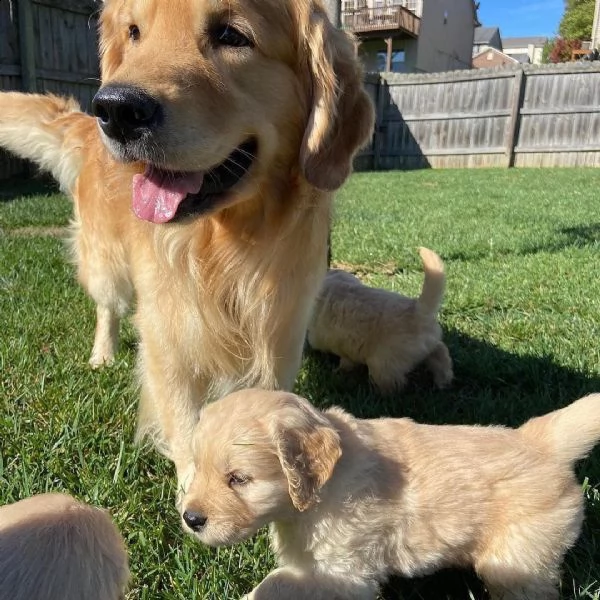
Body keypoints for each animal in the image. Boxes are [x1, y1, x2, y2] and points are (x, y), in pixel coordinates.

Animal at [0, 0, 376, 490]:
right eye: (135, 32)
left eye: (232, 36)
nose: (116, 110)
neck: (223, 241)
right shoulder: (168, 330)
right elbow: (183, 421)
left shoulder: (282, 324)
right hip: (107, 261)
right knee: (106, 306)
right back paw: (103, 354)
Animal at [180, 390, 600, 600]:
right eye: (197, 468)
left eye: (238, 479)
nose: (190, 518)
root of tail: (541, 440)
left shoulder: (343, 573)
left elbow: (273, 585)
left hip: (518, 560)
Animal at [308, 247, 452, 394]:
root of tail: (418, 309)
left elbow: (344, 360)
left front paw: (339, 370)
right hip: (429, 344)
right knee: (440, 353)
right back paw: (443, 381)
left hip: (383, 363)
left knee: (393, 384)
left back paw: (379, 392)